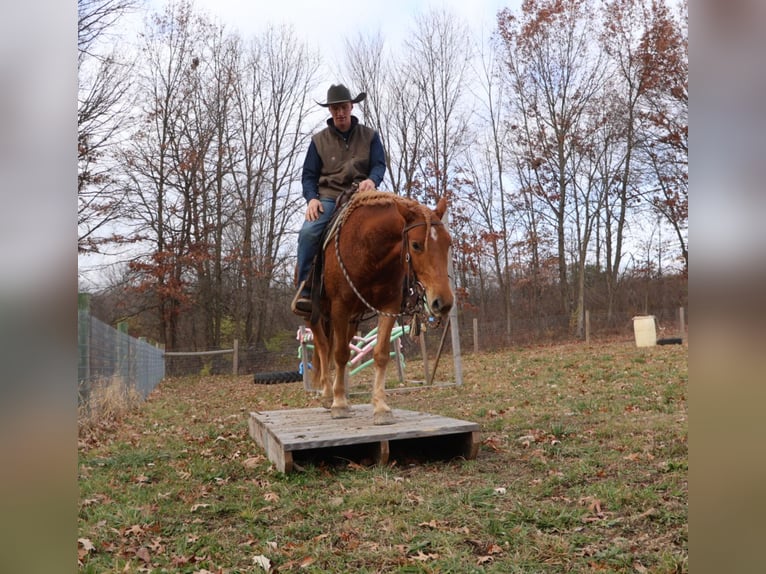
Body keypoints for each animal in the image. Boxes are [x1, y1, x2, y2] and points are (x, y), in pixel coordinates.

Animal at [307, 190, 454, 425]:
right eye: (416, 245)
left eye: (448, 243)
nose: (443, 302)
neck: (368, 251)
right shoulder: (340, 306)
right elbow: (340, 354)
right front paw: (339, 403)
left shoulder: (389, 306)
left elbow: (381, 354)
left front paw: (381, 407)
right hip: (316, 314)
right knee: (323, 346)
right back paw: (328, 395)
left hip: (352, 319)